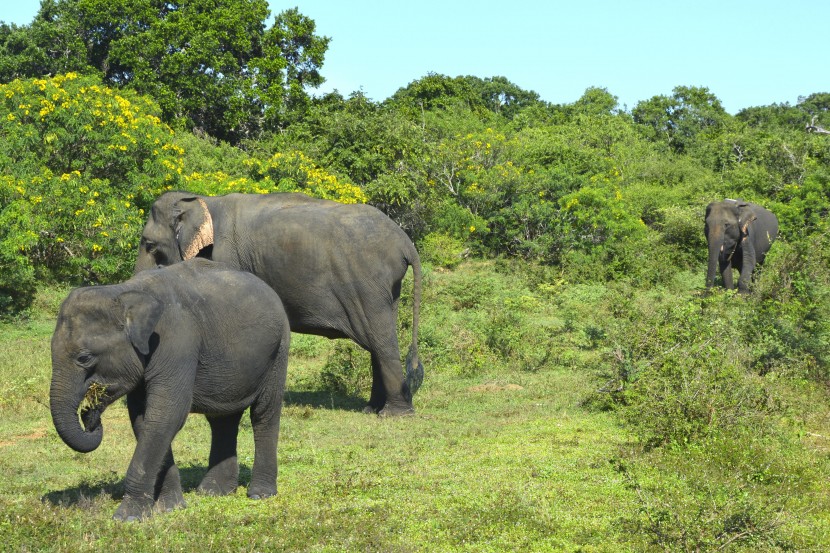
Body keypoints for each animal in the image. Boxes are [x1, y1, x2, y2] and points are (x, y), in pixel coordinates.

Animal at [51, 256, 292, 520]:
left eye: (84, 358)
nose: (89, 415)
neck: (124, 292)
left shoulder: (177, 343)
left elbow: (167, 415)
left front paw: (127, 517)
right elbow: (144, 419)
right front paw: (170, 507)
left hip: (279, 349)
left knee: (264, 413)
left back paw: (260, 494)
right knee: (222, 420)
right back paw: (213, 492)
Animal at [136, 192, 426, 416]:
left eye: (150, 245)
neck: (203, 200)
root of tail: (405, 242)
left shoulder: (227, 258)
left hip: (367, 284)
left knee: (381, 341)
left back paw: (393, 414)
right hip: (385, 289)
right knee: (378, 340)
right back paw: (372, 410)